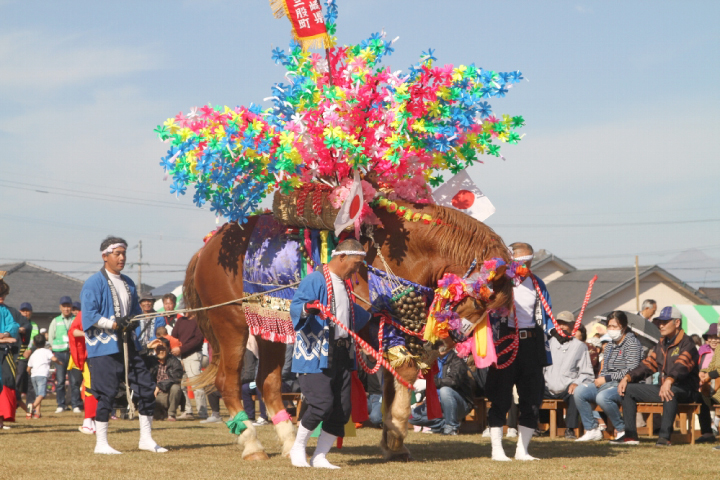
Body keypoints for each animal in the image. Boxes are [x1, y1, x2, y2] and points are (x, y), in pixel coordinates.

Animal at [183, 198, 516, 462]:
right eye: (479, 299)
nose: (452, 341)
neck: (400, 252)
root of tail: (207, 247)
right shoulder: (374, 325)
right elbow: (405, 373)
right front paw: (396, 434)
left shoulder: (388, 328)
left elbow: (393, 380)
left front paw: (391, 441)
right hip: (230, 323)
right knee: (228, 382)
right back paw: (252, 446)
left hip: (268, 326)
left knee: (267, 383)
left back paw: (290, 443)